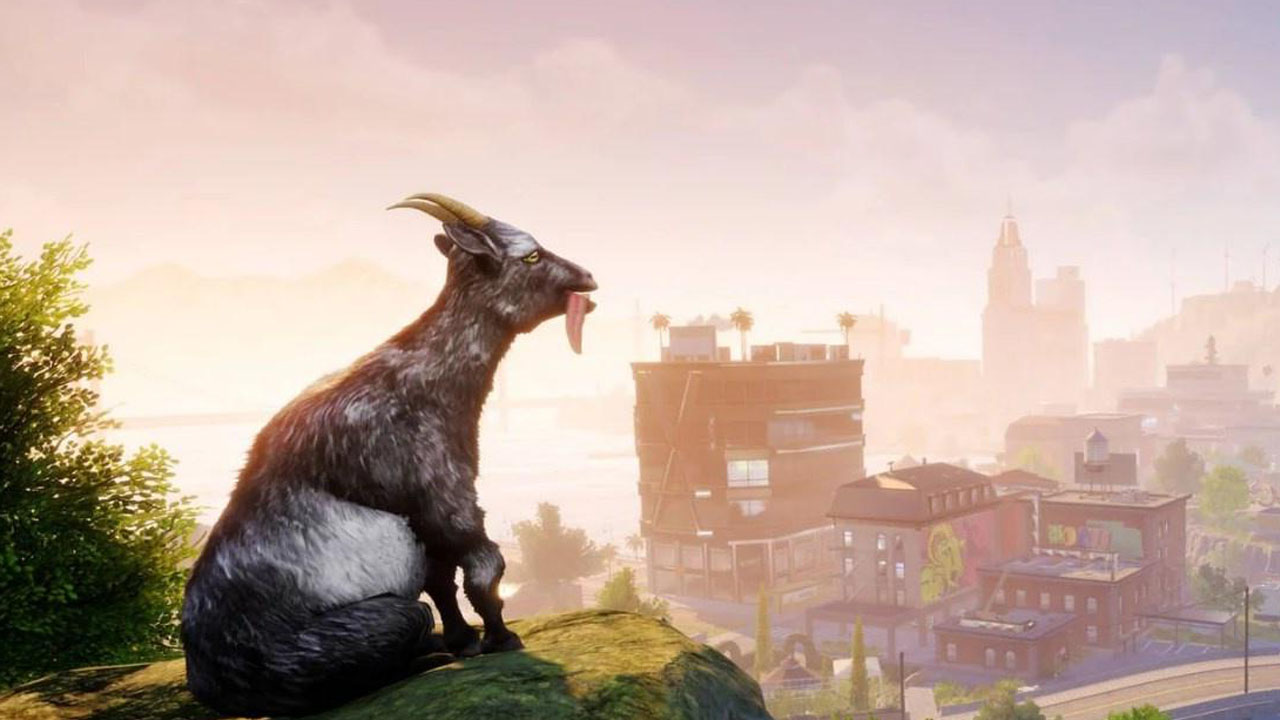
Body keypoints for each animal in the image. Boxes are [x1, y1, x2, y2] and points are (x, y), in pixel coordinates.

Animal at [180, 193, 597, 717]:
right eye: (531, 255)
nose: (589, 279)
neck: (426, 377)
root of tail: (207, 680)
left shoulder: (424, 516)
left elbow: (441, 579)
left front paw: (464, 640)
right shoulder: (443, 492)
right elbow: (482, 569)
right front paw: (501, 639)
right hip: (369, 627)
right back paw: (428, 654)